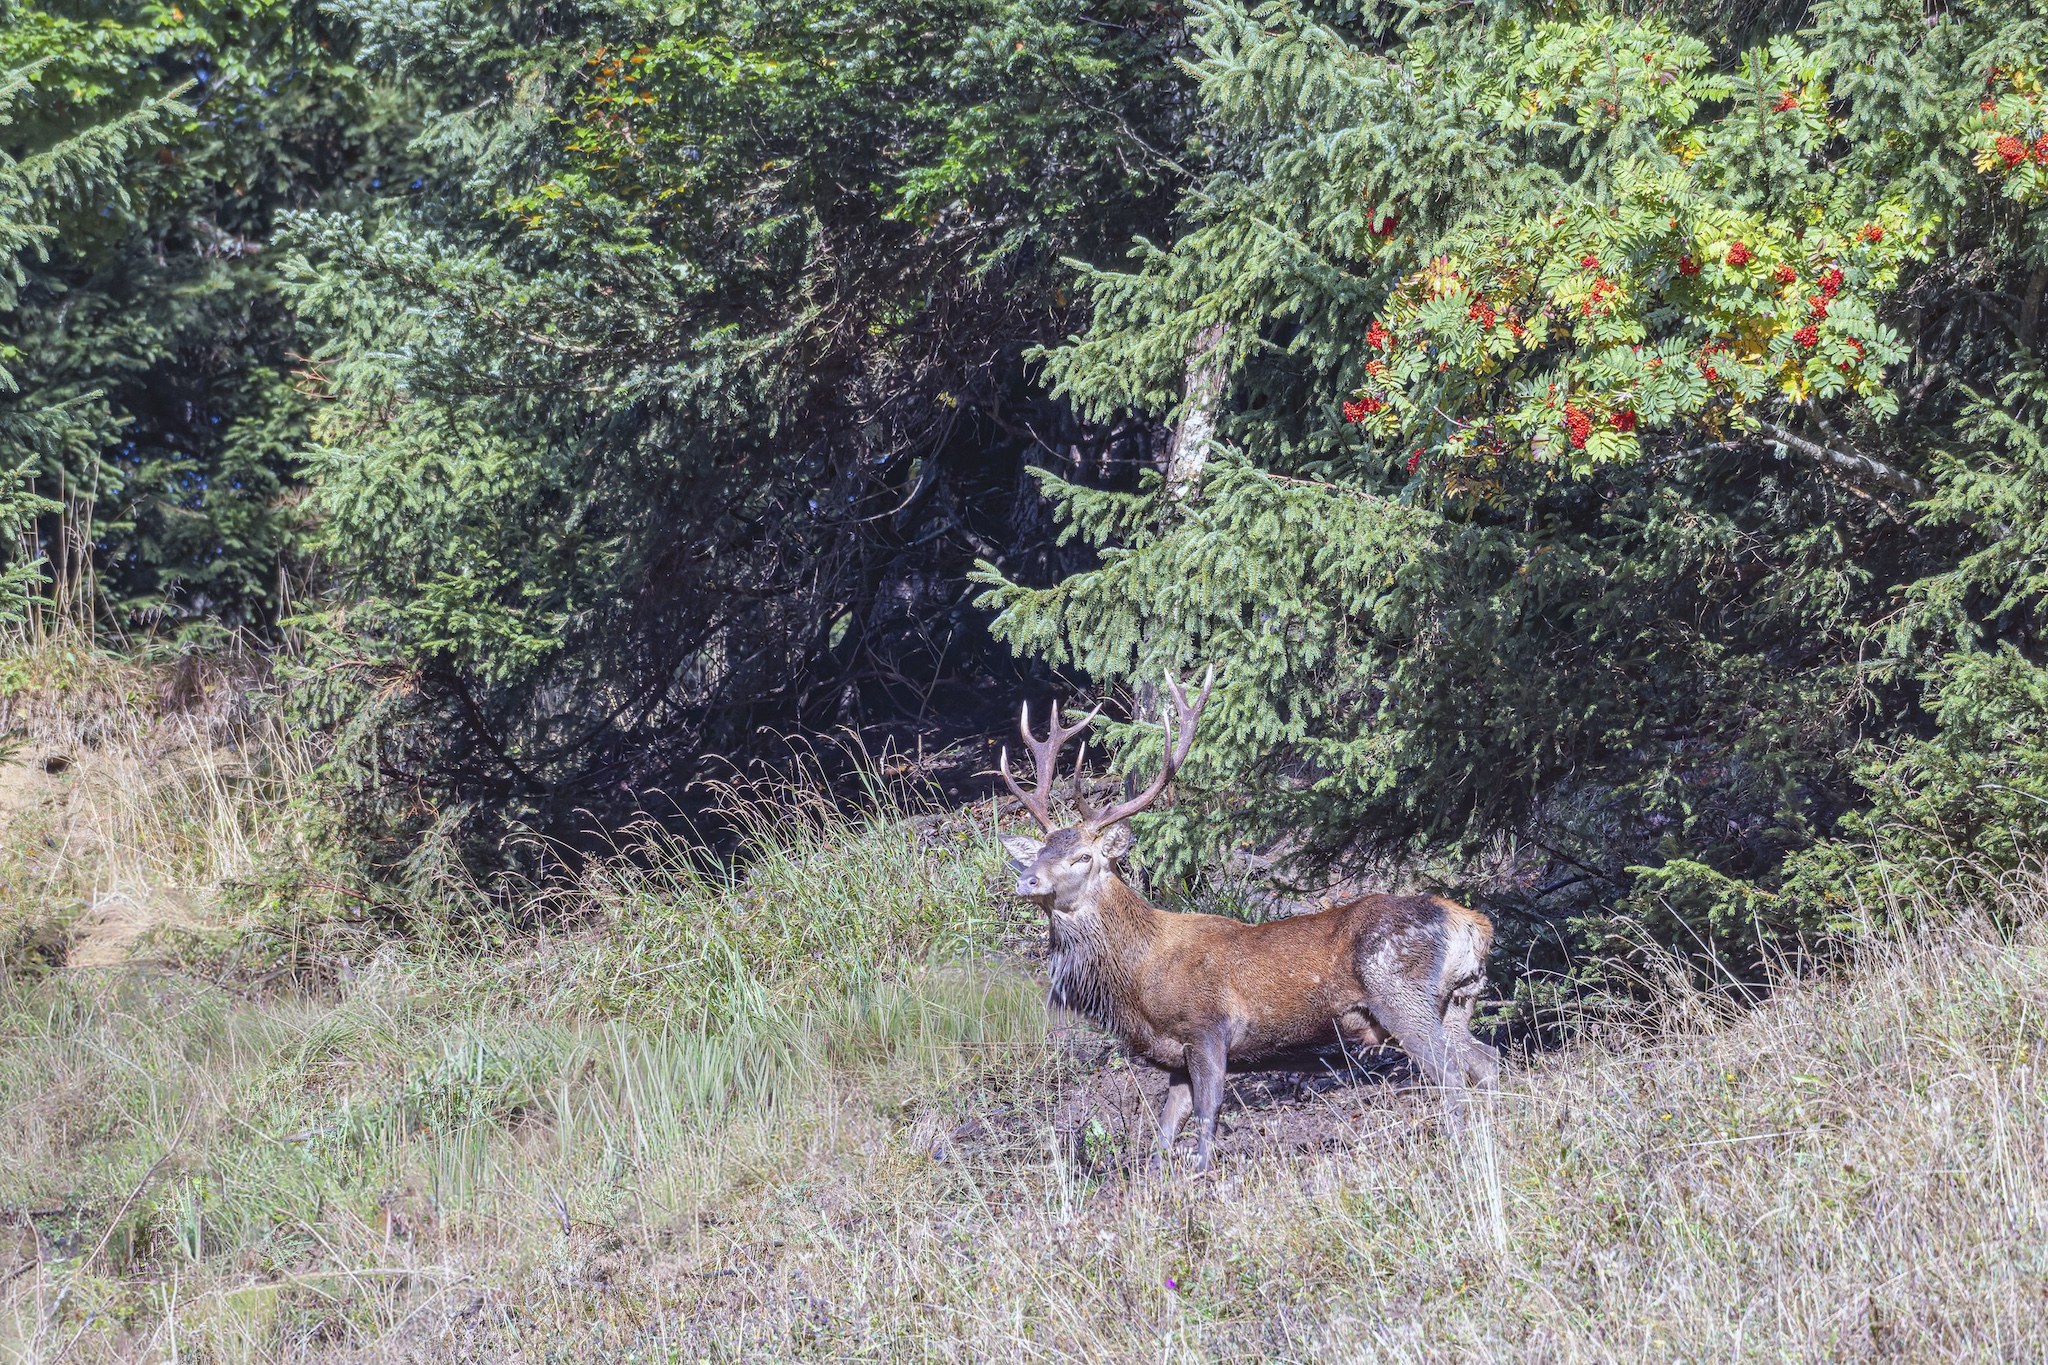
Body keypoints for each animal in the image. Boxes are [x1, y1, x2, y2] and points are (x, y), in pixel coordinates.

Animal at [998, 669, 1499, 1174]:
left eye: (1083, 857)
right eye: (1039, 853)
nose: (1026, 879)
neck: (1139, 981)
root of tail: (1471, 925)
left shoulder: (1208, 1028)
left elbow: (1207, 1117)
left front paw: (1201, 1173)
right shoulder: (1176, 1057)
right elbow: (1164, 1133)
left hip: (1400, 995)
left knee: (1451, 1070)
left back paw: (1462, 1149)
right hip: (1457, 1003)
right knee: (1487, 1059)